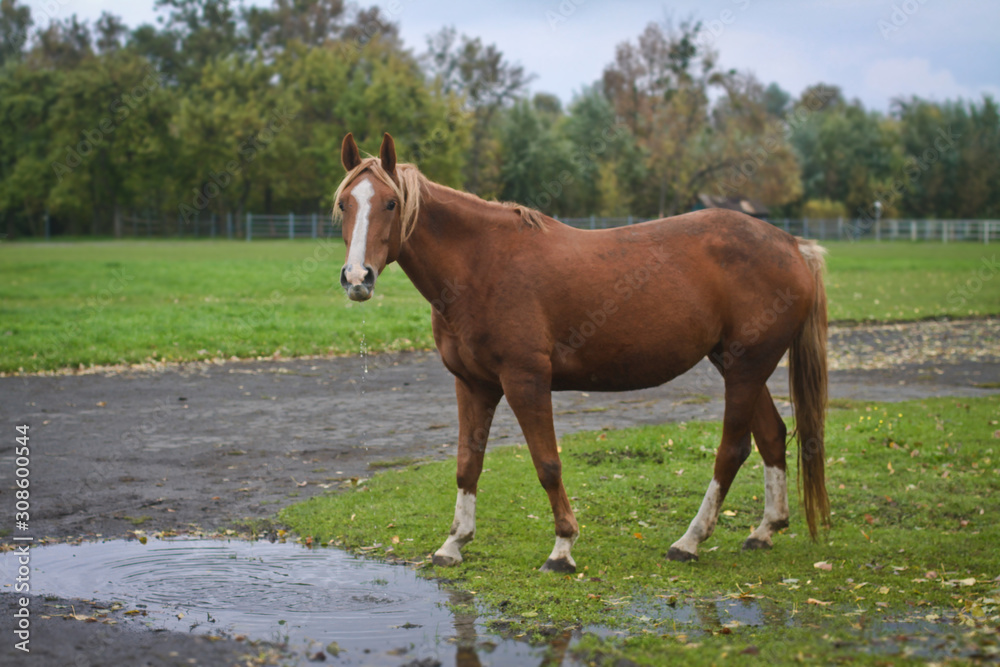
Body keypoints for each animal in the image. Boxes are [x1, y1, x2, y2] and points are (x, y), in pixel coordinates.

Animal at [335, 132, 830, 572]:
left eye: (391, 203)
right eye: (345, 204)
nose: (358, 278)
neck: (482, 265)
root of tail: (792, 245)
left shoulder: (526, 381)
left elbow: (547, 464)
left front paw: (562, 548)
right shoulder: (473, 385)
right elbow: (467, 465)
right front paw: (454, 543)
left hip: (746, 368)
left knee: (732, 449)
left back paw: (689, 541)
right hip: (735, 363)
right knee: (770, 436)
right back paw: (765, 529)